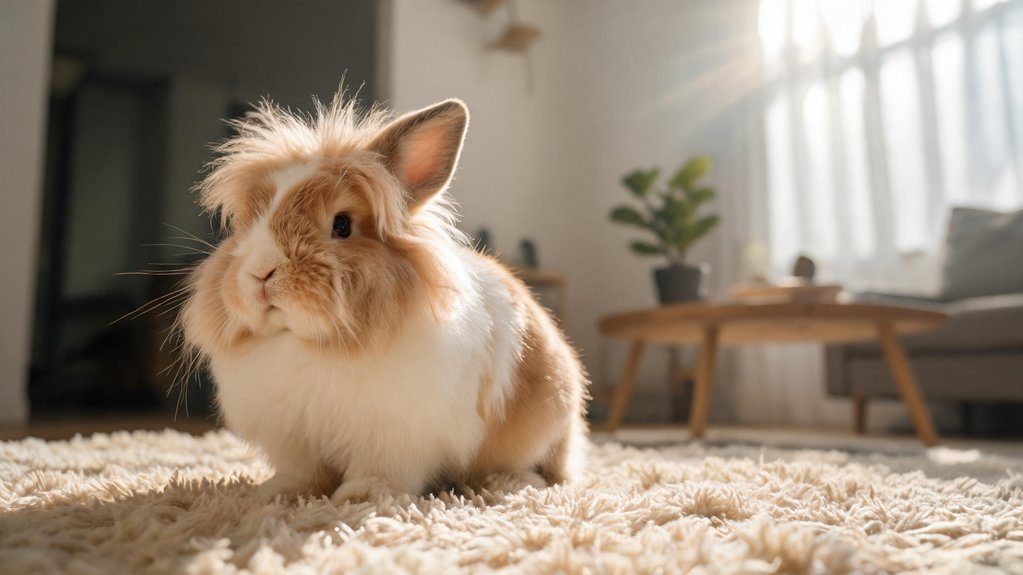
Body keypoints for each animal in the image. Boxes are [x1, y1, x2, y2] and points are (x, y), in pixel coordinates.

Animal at [179, 95, 590, 503]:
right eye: (249, 223)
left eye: (341, 225)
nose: (261, 272)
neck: (310, 343)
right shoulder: (295, 440)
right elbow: (304, 474)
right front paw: (277, 494)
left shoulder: (395, 438)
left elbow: (380, 472)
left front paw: (361, 498)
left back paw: (506, 483)